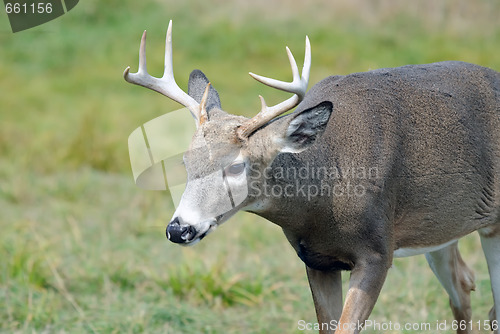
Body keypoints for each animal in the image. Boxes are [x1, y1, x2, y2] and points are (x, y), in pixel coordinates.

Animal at [124, 20, 500, 332]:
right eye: (186, 162)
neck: (321, 200)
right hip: (441, 227)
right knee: (464, 284)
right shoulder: (317, 259)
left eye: (236, 165)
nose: (179, 229)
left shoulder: (377, 252)